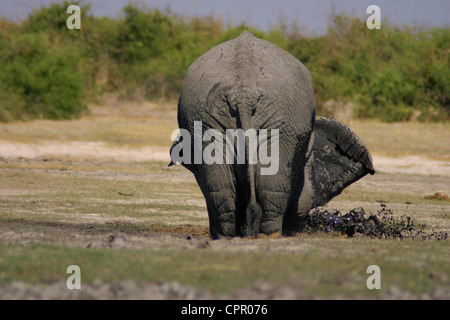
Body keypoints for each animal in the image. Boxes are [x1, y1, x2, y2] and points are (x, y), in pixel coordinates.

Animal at [169, 31, 372, 239]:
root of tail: (243, 95)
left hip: (210, 121)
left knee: (221, 187)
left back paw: (229, 237)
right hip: (280, 122)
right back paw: (270, 236)